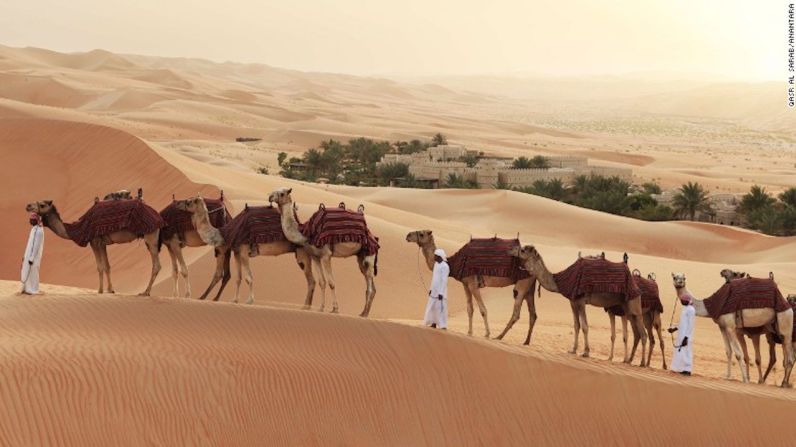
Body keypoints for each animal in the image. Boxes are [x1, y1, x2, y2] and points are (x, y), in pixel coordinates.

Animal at [26, 200, 161, 294]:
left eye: (42, 205)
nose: (28, 206)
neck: (77, 230)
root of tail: (158, 216)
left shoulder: (94, 242)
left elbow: (100, 267)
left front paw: (100, 291)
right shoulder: (102, 243)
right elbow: (107, 266)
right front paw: (110, 290)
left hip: (150, 236)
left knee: (156, 265)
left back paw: (146, 292)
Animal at [174, 198, 314, 306]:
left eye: (189, 201)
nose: (178, 204)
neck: (226, 232)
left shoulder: (244, 251)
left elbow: (248, 277)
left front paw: (249, 301)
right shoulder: (237, 253)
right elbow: (238, 278)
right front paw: (235, 300)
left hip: (302, 253)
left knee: (311, 280)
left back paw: (306, 306)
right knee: (310, 280)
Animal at [268, 189, 376, 318]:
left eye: (282, 193)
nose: (270, 197)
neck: (307, 233)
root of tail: (372, 236)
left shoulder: (326, 255)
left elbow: (331, 283)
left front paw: (335, 309)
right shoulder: (315, 257)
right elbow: (322, 282)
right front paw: (321, 308)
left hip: (369, 254)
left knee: (369, 283)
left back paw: (365, 314)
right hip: (361, 256)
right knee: (370, 284)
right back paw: (363, 312)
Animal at [408, 231, 536, 344]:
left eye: (421, 234)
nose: (408, 235)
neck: (453, 262)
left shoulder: (473, 284)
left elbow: (483, 310)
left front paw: (487, 334)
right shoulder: (465, 284)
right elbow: (470, 309)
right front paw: (469, 332)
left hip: (522, 284)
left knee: (516, 313)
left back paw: (499, 337)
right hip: (530, 288)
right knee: (533, 314)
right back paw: (526, 342)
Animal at [510, 247, 648, 366]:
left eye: (523, 250)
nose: (512, 251)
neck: (561, 281)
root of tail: (636, 284)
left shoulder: (581, 301)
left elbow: (585, 327)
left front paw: (586, 352)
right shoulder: (573, 302)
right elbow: (576, 326)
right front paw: (573, 349)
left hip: (634, 304)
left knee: (643, 333)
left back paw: (642, 363)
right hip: (626, 308)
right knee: (637, 333)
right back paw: (628, 360)